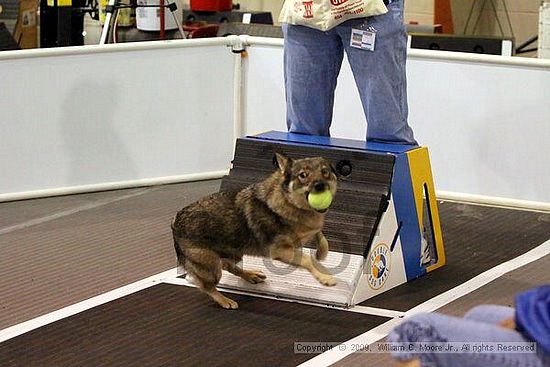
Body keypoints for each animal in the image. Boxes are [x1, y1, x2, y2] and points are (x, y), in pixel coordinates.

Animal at [172, 154, 338, 310]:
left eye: (325, 172)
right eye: (303, 175)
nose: (320, 185)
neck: (290, 203)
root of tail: (175, 220)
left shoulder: (310, 231)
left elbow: (321, 236)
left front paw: (321, 253)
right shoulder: (280, 251)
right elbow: (308, 260)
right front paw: (324, 277)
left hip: (235, 255)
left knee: (227, 266)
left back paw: (250, 275)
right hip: (211, 268)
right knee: (206, 286)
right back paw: (225, 300)